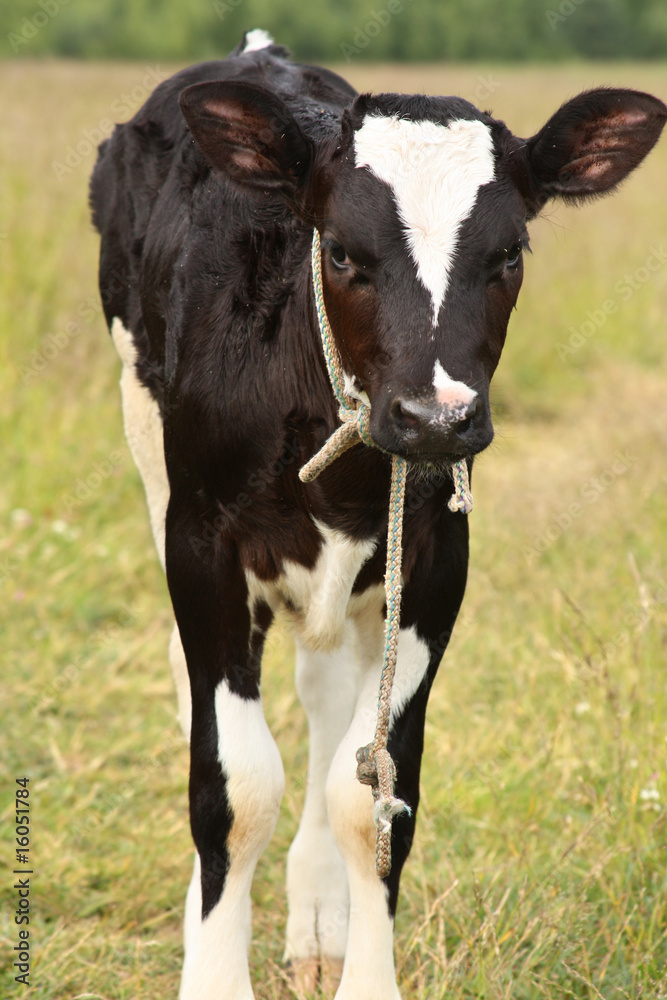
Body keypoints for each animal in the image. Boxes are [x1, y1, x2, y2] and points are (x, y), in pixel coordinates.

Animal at [90, 31, 667, 1000]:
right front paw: (212, 962)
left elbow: (371, 795)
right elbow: (232, 787)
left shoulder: (436, 558)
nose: (435, 417)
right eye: (340, 253)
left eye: (508, 255)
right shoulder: (203, 542)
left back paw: (318, 920)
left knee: (326, 698)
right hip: (150, 455)